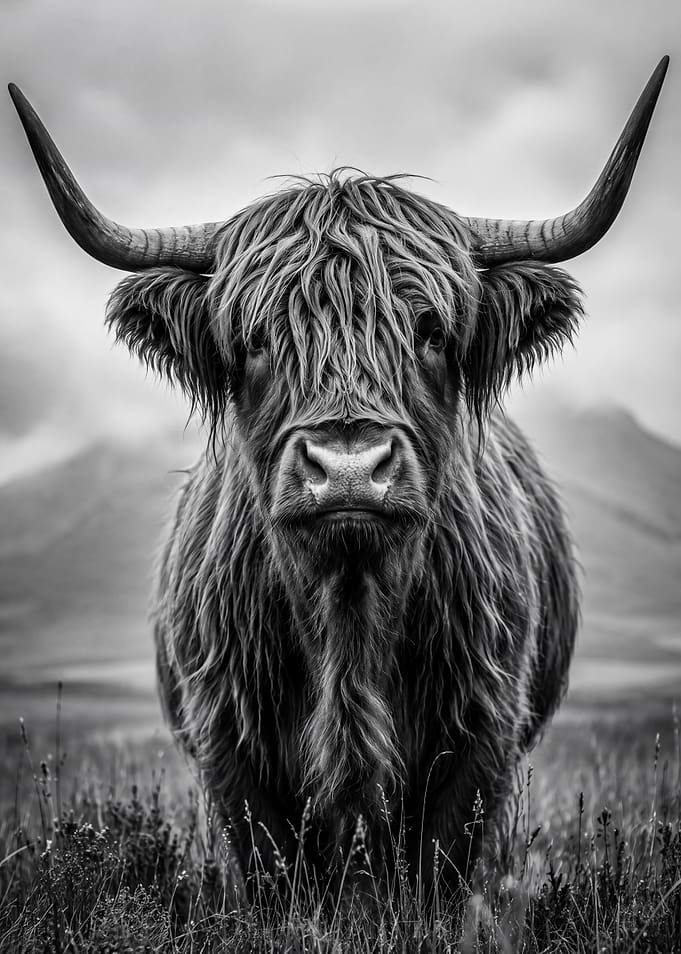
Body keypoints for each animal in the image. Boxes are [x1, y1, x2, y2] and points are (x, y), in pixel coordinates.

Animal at [9, 57, 668, 897]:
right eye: (255, 337)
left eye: (429, 330)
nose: (349, 468)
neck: (349, 612)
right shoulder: (228, 738)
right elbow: (272, 868)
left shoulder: (482, 729)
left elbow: (438, 870)